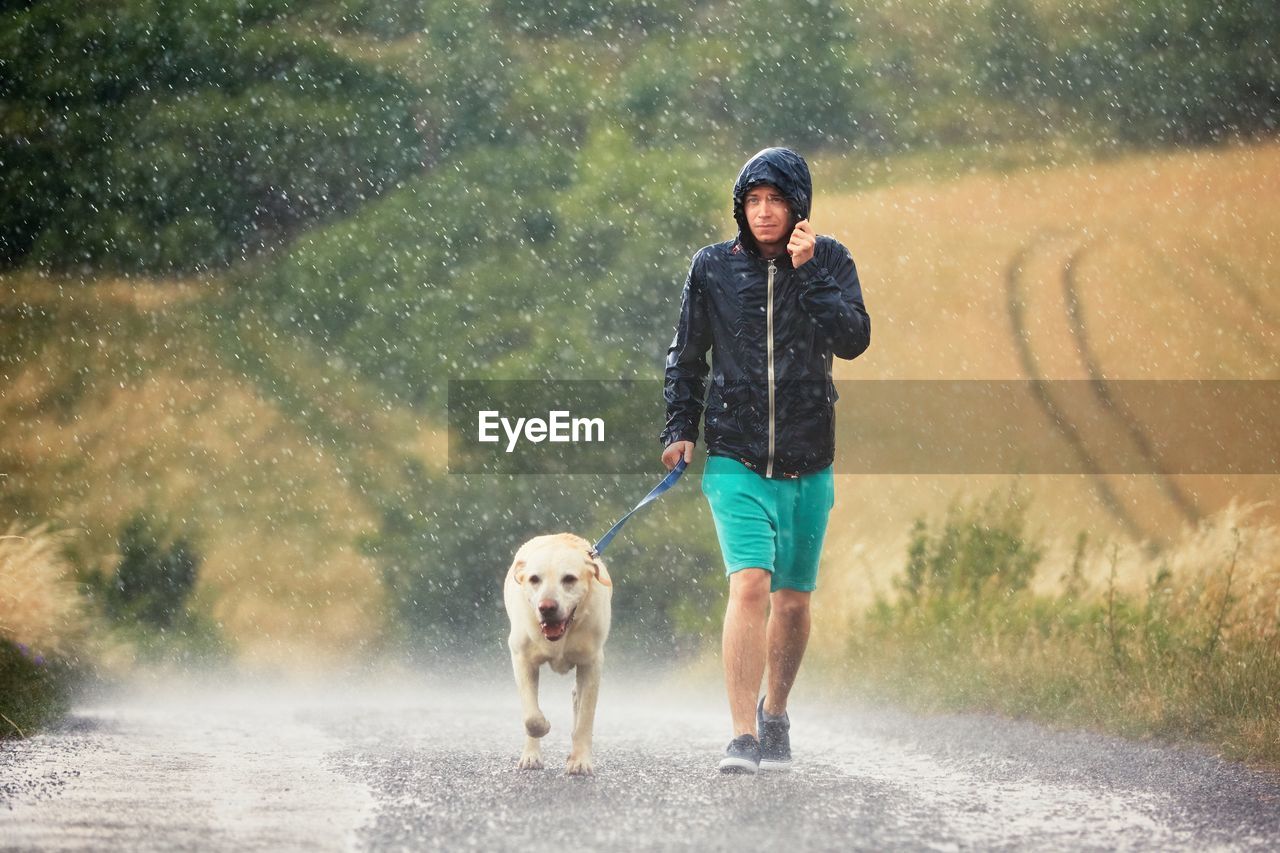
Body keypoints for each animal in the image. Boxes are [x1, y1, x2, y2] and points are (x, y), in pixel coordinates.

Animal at [501, 532, 611, 768]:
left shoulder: (591, 662)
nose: (547, 607)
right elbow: (531, 717)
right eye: (534, 579)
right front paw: (541, 732)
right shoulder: (522, 658)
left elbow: (586, 716)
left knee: (577, 699)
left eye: (569, 578)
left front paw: (580, 761)